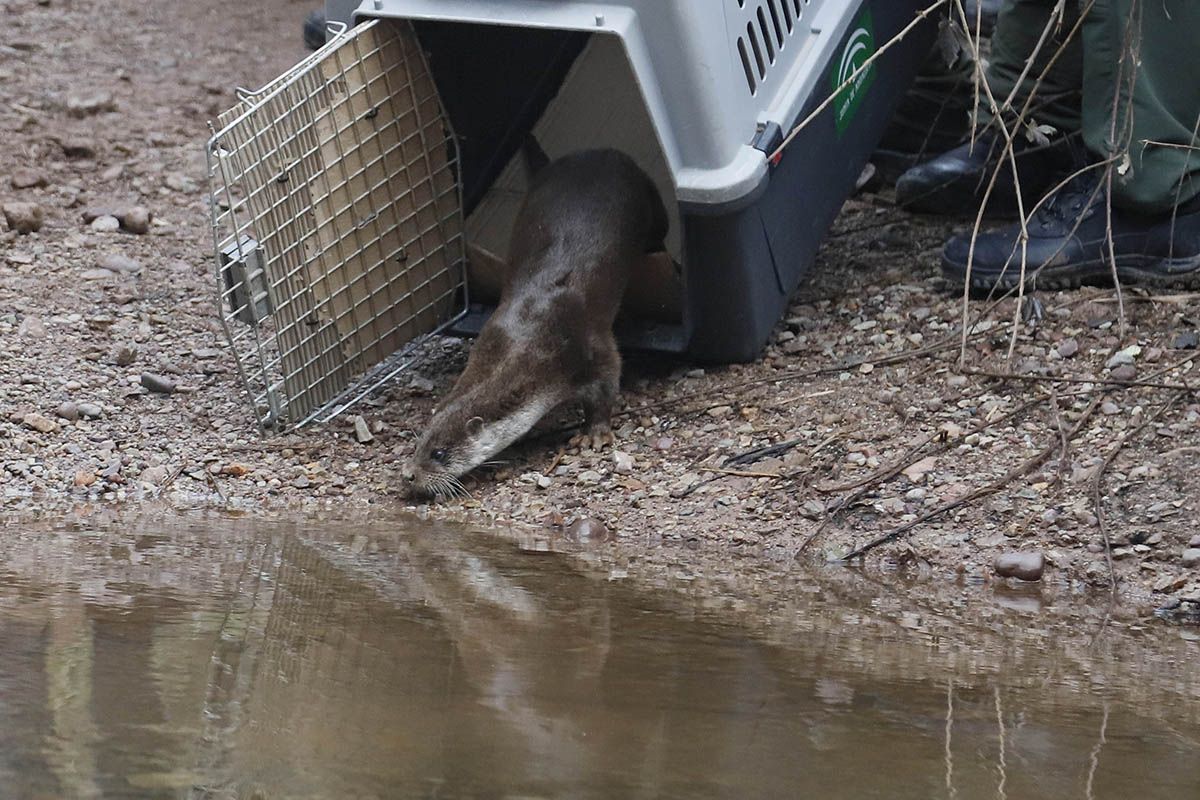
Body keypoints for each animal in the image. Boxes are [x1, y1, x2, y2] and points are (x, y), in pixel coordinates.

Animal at [400, 146, 667, 496]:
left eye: (439, 453)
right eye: (419, 444)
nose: (409, 475)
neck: (531, 342)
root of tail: (600, 152)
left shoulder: (591, 344)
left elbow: (607, 386)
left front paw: (595, 432)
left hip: (650, 199)